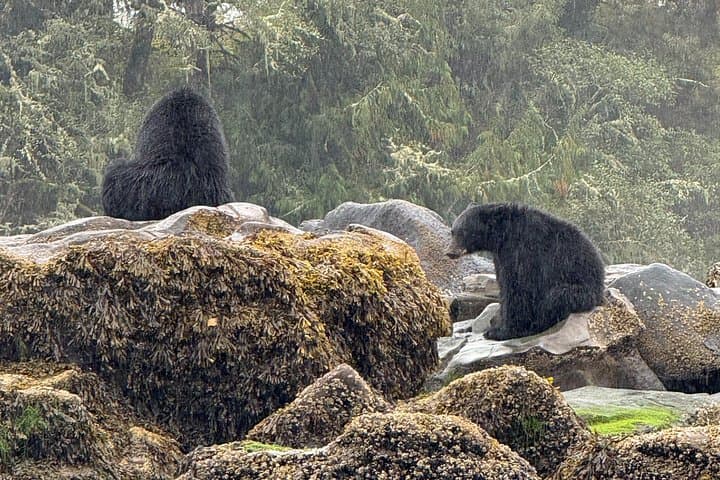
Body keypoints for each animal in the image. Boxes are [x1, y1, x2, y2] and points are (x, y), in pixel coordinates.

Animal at [446, 202, 605, 340]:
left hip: (580, 290)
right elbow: (504, 285)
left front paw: (500, 331)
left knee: (555, 298)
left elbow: (519, 287)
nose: (450, 252)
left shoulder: (524, 250)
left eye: (464, 231)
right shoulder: (501, 256)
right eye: (452, 231)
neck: (503, 235)